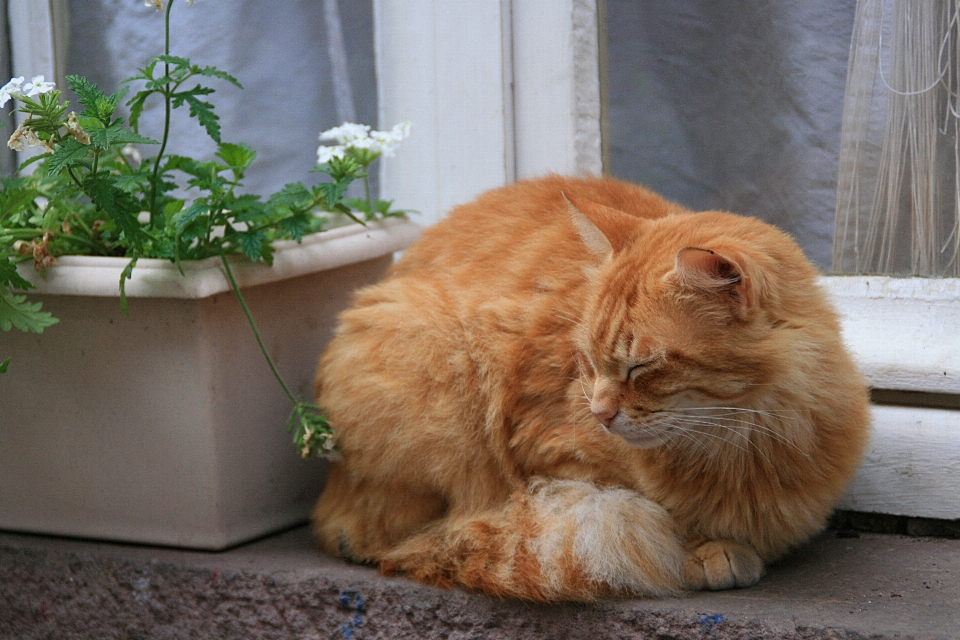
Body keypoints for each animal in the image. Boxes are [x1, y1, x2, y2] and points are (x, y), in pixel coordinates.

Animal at [314, 174, 872, 600]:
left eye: (641, 366)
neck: (743, 444)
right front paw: (703, 549)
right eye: (586, 360)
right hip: (438, 361)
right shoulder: (546, 449)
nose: (601, 414)